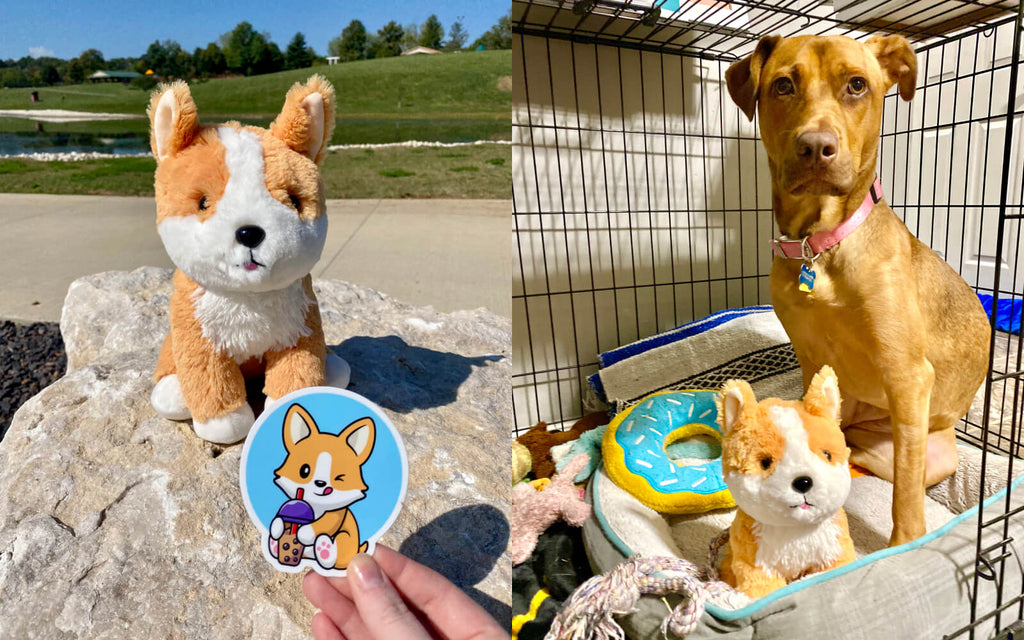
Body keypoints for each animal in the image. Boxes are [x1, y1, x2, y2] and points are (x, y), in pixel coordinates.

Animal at [724, 34, 987, 544]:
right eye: (783, 85)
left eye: (857, 85)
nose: (815, 147)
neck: (821, 247)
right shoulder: (809, 356)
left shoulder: (907, 376)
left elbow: (905, 494)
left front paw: (903, 549)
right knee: (847, 449)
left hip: (930, 450)